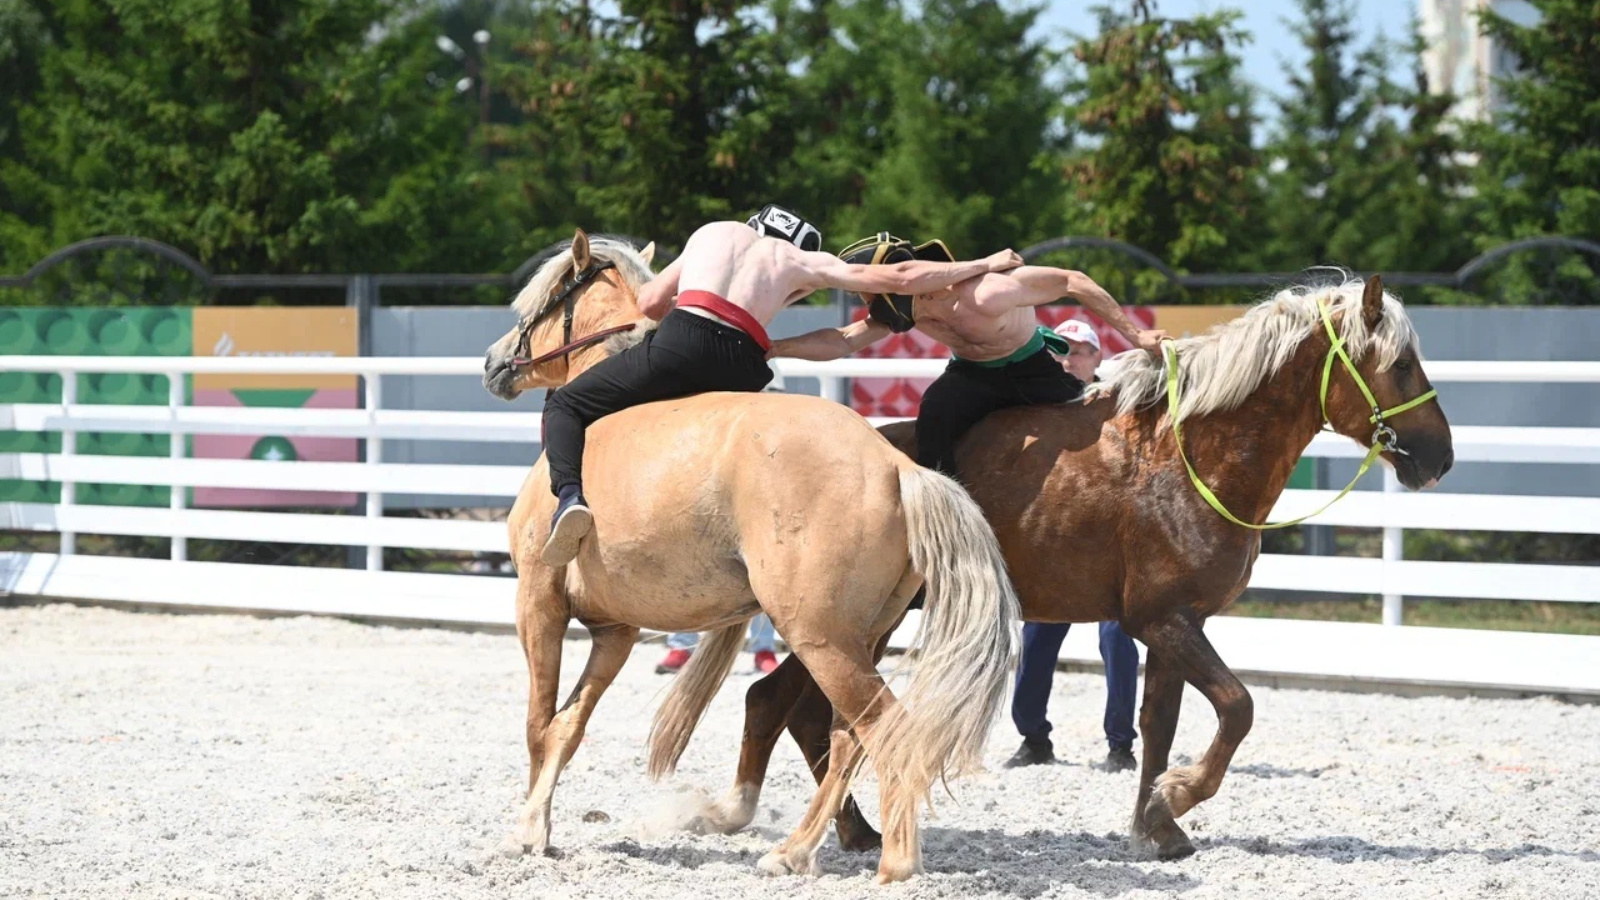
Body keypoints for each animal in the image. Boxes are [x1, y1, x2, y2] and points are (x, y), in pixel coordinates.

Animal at [480, 227, 1017, 877]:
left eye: (542, 300)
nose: (495, 362)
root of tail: (897, 466)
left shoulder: (538, 600)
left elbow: (538, 724)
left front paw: (527, 830)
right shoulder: (616, 631)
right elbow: (568, 725)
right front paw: (538, 824)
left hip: (819, 639)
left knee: (885, 728)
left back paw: (895, 861)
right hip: (859, 638)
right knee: (845, 737)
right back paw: (794, 851)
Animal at [694, 272, 1459, 851]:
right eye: (1400, 365)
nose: (1441, 456)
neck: (1186, 453)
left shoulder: (1172, 625)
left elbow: (1159, 726)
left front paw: (1157, 822)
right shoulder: (1164, 621)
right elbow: (1237, 708)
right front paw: (1182, 794)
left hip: (861, 627)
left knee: (793, 709)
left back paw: (850, 830)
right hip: (847, 626)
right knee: (790, 707)